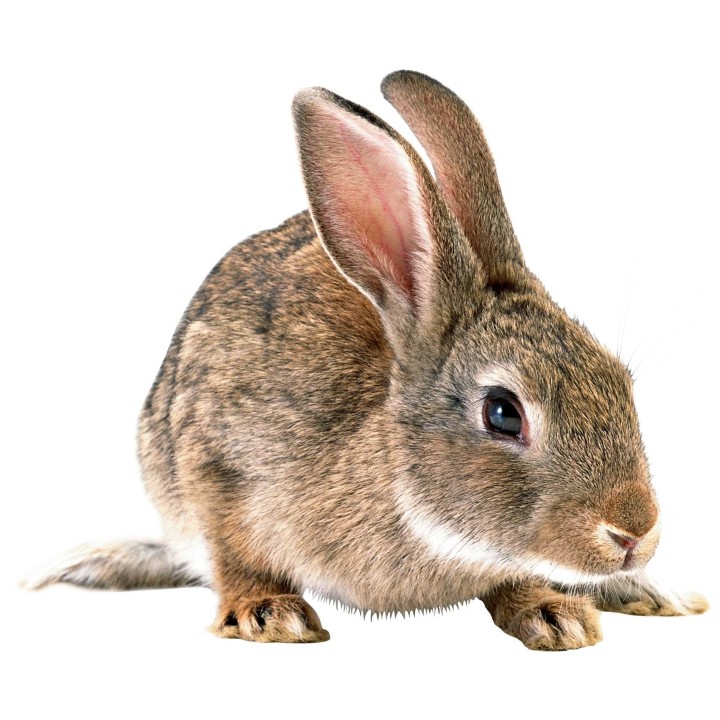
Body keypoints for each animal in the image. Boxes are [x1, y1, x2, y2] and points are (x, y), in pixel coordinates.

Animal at [26, 70, 708, 650]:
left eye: (621, 382)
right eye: (503, 413)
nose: (635, 532)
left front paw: (555, 614)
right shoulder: (215, 467)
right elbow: (234, 555)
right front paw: (267, 613)